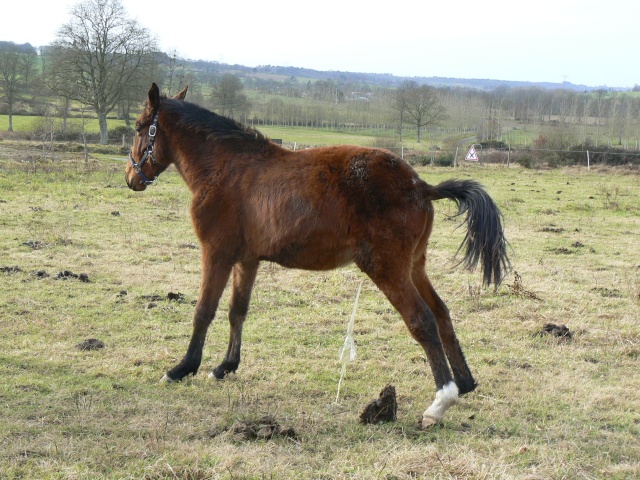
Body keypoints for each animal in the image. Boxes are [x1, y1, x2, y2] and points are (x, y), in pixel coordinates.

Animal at [125, 82, 510, 428]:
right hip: (413, 266)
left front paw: (182, 368)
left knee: (422, 320)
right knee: (441, 313)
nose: (131, 177)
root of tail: (420, 185)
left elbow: (204, 311)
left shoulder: (216, 253)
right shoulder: (246, 260)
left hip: (387, 269)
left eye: (140, 127)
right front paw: (224, 367)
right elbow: (238, 311)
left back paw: (440, 401)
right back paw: (464, 382)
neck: (226, 167)